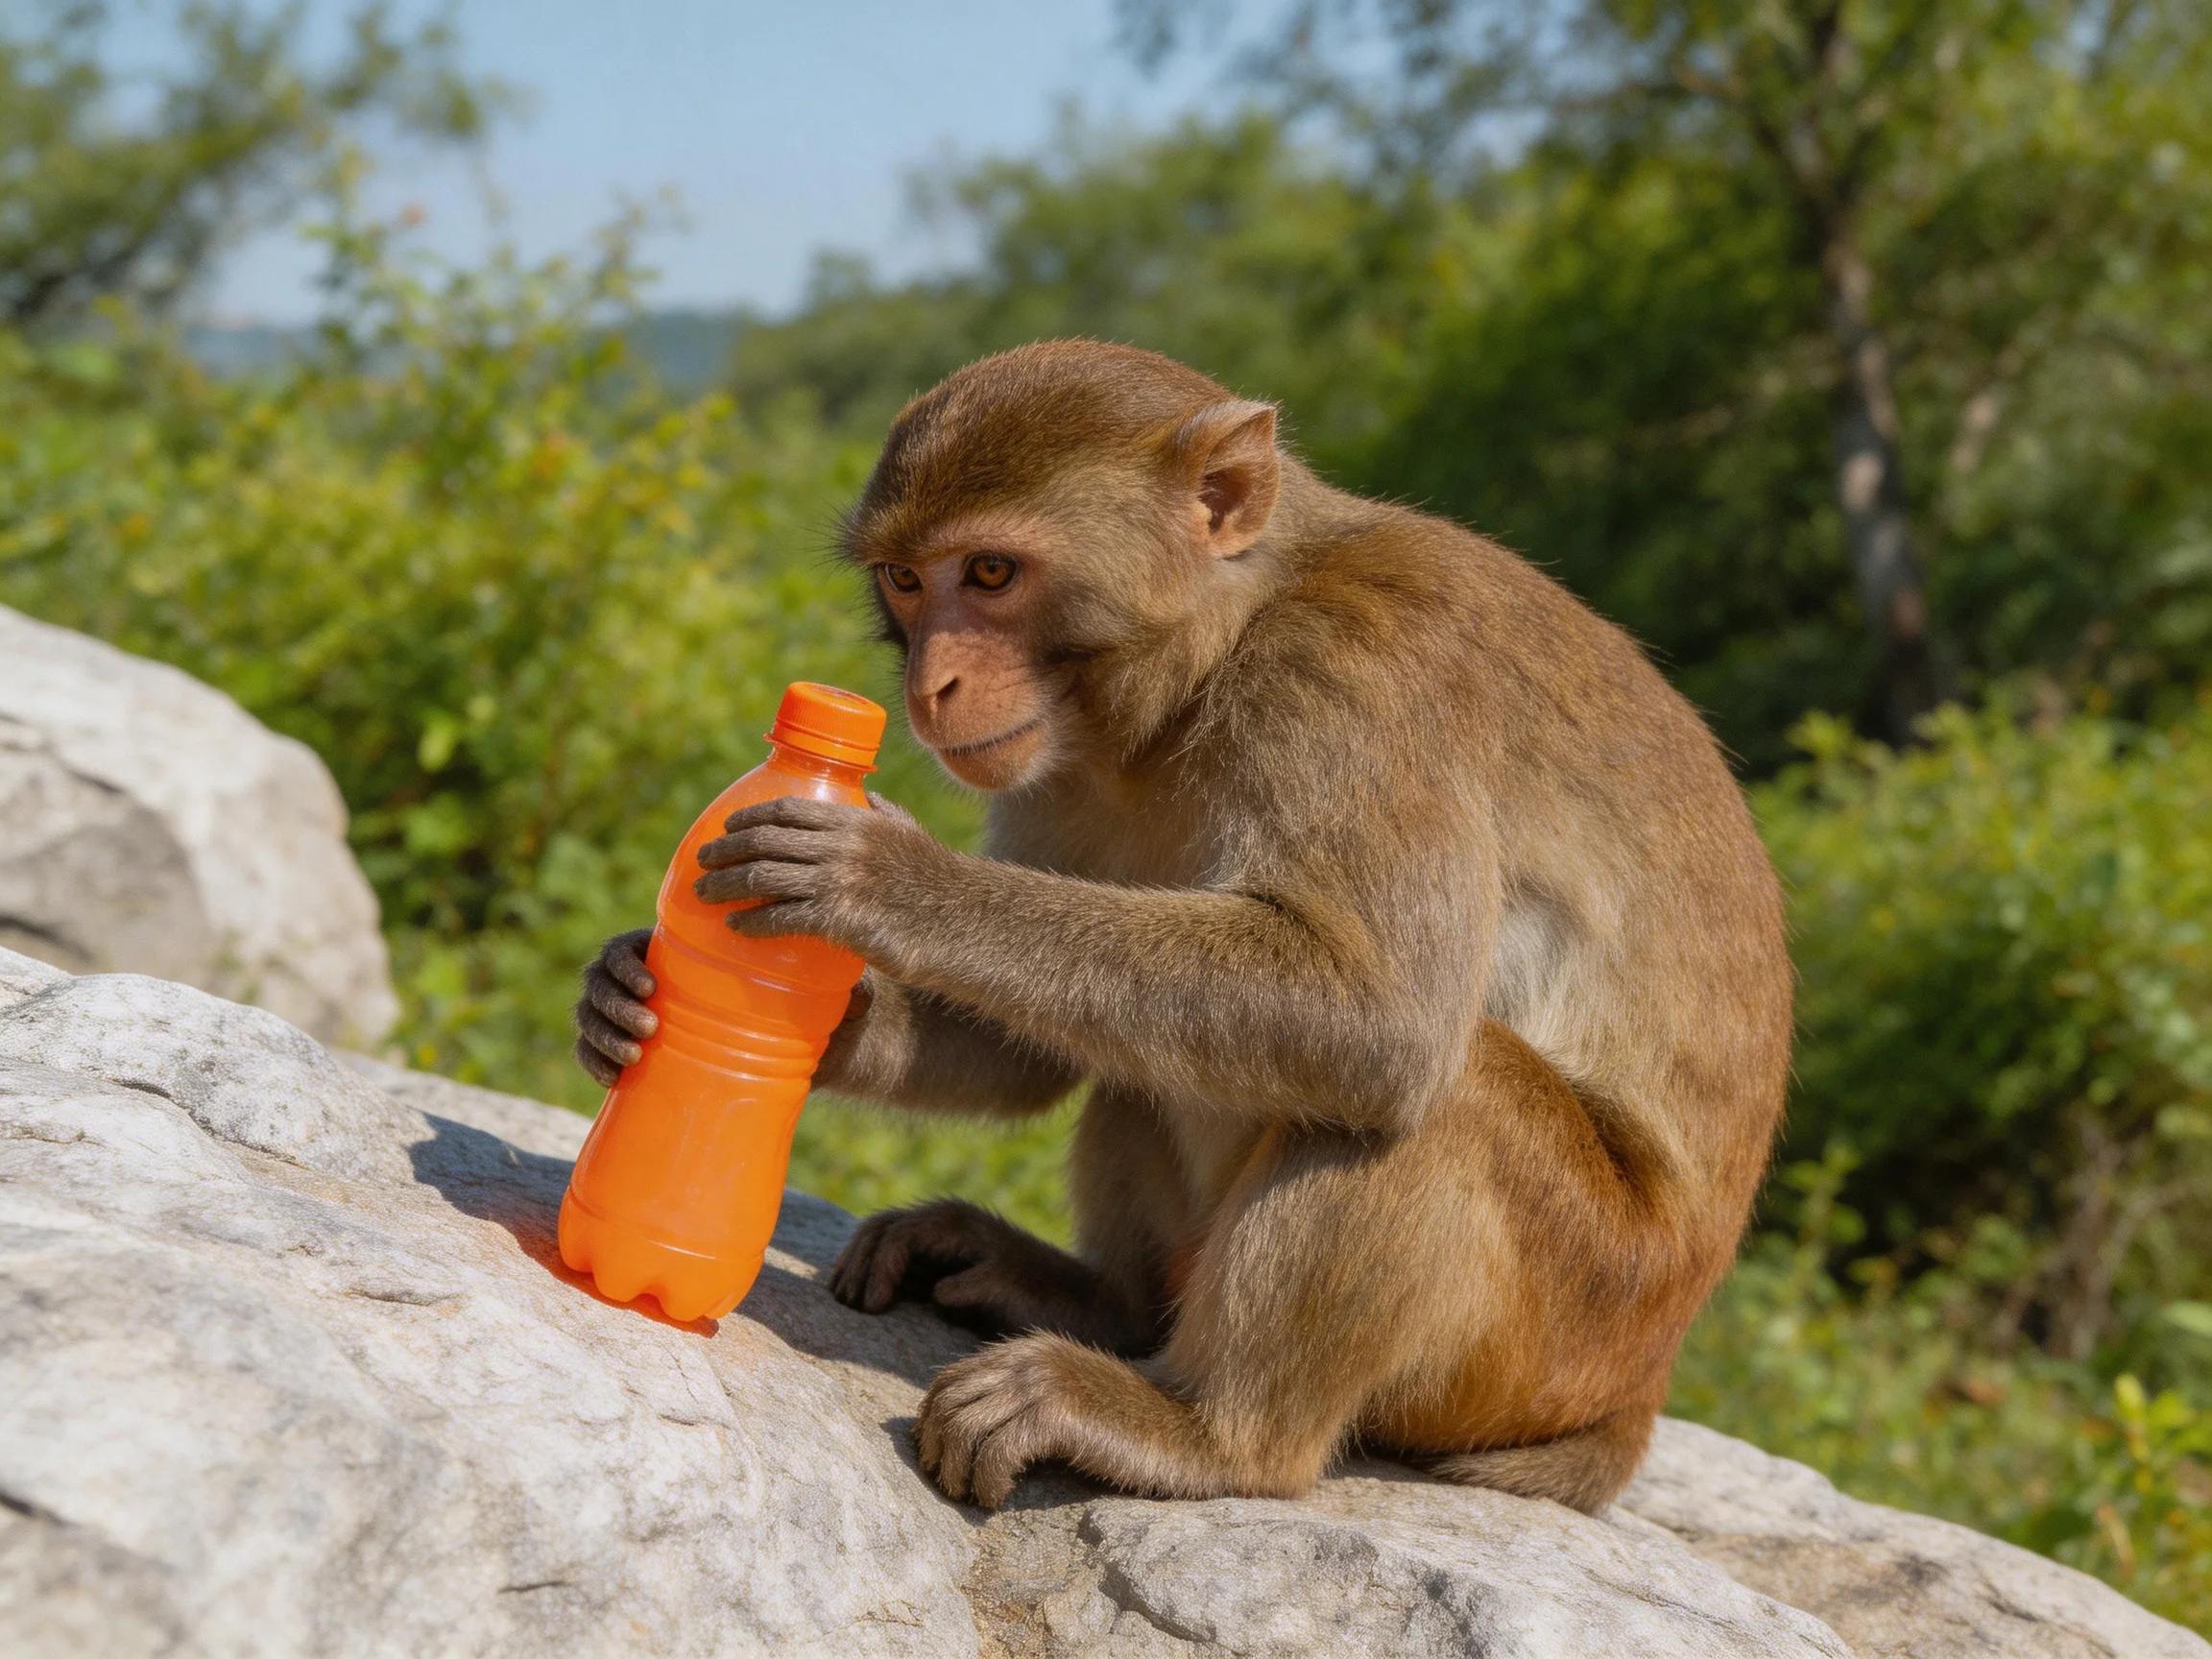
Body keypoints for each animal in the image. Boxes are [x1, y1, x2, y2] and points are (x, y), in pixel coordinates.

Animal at [575, 340, 1792, 1515]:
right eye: (907, 581)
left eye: (992, 572)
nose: (931, 684)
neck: (1211, 664)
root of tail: (1633, 1399)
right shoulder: (1058, 765)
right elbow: (1029, 1046)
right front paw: (647, 999)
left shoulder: (1366, 668)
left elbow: (1382, 1016)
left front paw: (891, 883)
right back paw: (1089, 1300)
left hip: (1562, 1329)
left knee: (1447, 1087)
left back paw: (1204, 1434)